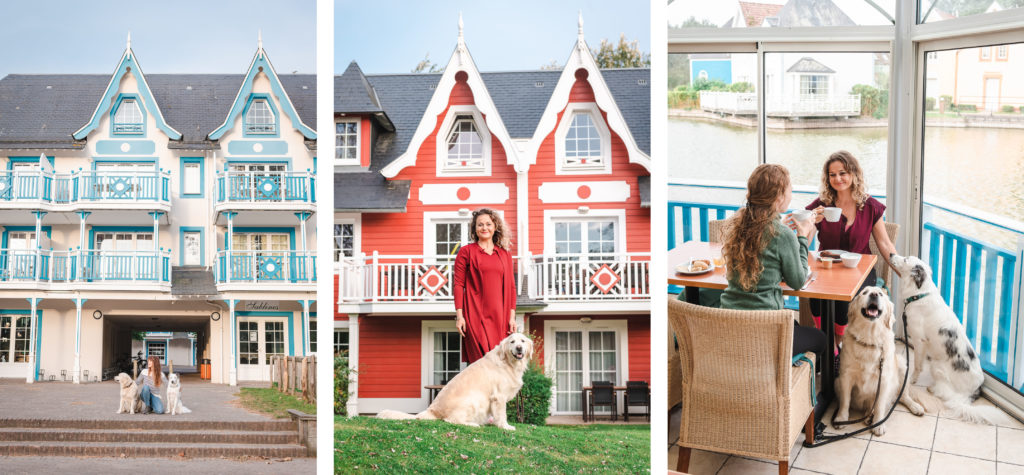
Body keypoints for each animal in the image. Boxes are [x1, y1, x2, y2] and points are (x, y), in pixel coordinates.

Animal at [378, 331, 536, 427]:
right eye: (512, 342)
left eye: (522, 341)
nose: (519, 348)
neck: (508, 362)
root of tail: (431, 410)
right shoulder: (498, 397)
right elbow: (502, 414)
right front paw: (505, 426)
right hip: (473, 401)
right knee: (451, 420)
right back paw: (473, 424)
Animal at [835, 286, 933, 434]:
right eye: (864, 292)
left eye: (880, 294)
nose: (874, 294)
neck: (869, 339)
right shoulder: (845, 376)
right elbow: (845, 401)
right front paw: (841, 418)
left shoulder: (884, 379)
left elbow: (880, 405)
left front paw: (878, 424)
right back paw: (868, 416)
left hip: (902, 366)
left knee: (902, 397)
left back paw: (915, 407)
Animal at [892, 253, 1003, 425]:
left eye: (905, 259)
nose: (891, 254)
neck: (919, 295)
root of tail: (974, 391)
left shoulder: (919, 341)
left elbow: (917, 366)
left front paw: (911, 380)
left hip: (936, 366)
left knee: (946, 394)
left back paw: (932, 388)